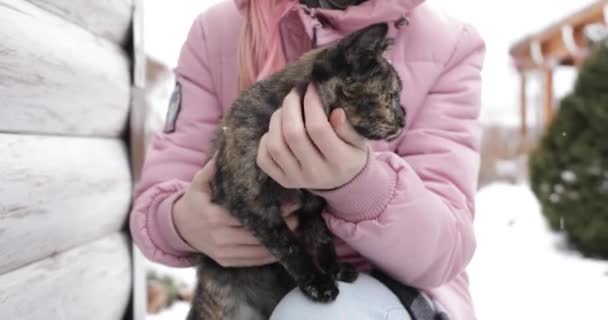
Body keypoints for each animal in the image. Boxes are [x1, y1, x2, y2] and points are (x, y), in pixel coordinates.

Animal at [188, 23, 406, 320]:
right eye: (392, 96)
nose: (404, 119)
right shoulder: (253, 205)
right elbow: (291, 246)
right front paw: (318, 283)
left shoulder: (312, 203)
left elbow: (322, 238)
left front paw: (333, 268)